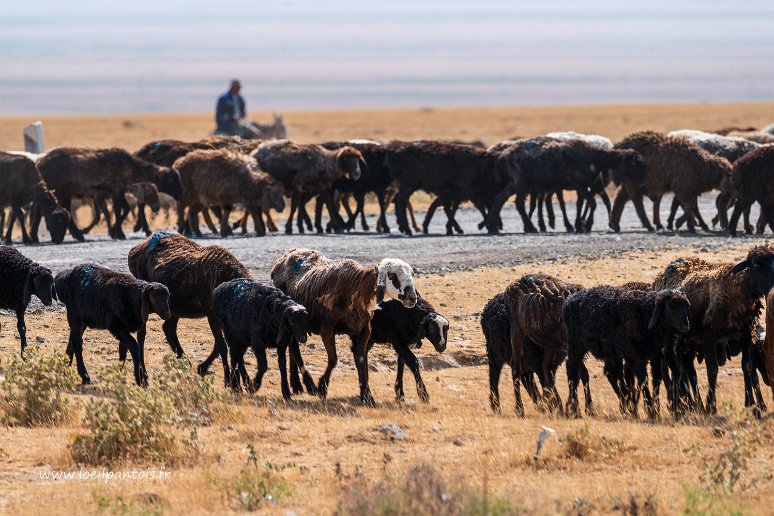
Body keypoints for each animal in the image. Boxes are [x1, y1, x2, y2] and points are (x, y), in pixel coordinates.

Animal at [36, 147, 183, 240]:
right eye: (172, 180)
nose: (181, 195)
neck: (132, 167)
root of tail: (40, 162)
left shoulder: (119, 191)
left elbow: (124, 209)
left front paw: (115, 231)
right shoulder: (116, 190)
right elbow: (118, 211)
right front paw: (119, 233)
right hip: (62, 191)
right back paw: (78, 234)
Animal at [128, 233, 252, 382]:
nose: (243, 382)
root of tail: (133, 252)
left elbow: (221, 345)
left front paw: (203, 368)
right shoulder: (212, 313)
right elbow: (222, 345)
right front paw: (227, 378)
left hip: (174, 308)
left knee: (168, 328)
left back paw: (184, 362)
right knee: (142, 334)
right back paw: (143, 374)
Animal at [272, 248, 418, 406]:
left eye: (411, 273)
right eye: (392, 275)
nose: (412, 298)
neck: (358, 286)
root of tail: (288, 254)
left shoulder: (363, 329)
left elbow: (361, 359)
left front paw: (367, 396)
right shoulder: (327, 328)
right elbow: (333, 359)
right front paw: (322, 387)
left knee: (292, 347)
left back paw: (297, 386)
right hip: (292, 319)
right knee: (294, 348)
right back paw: (309, 385)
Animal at [500, 274, 584, 416]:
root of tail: (508, 288)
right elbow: (576, 374)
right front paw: (575, 410)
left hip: (551, 343)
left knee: (545, 367)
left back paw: (554, 406)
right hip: (516, 329)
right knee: (516, 367)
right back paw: (520, 409)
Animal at [560, 288, 696, 418]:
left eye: (687, 306)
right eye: (671, 306)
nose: (686, 326)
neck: (644, 312)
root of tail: (569, 300)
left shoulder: (660, 354)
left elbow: (666, 376)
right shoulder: (633, 355)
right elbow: (643, 378)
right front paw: (650, 409)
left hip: (609, 353)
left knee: (609, 374)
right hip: (576, 344)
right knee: (572, 370)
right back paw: (573, 408)